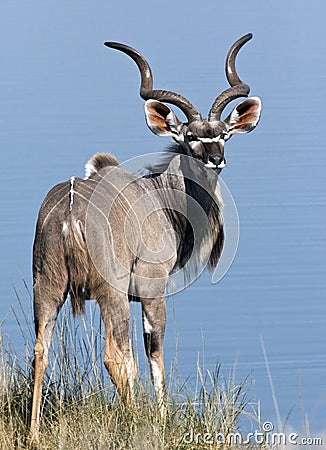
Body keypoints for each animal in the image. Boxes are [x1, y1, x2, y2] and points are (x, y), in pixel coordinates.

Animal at [29, 33, 262, 442]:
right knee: (113, 355)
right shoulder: (152, 292)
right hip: (110, 294)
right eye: (190, 137)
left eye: (223, 134)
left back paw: (34, 435)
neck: (161, 195)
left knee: (41, 350)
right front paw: (162, 418)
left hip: (47, 287)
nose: (215, 159)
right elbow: (152, 352)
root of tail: (71, 211)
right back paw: (135, 421)